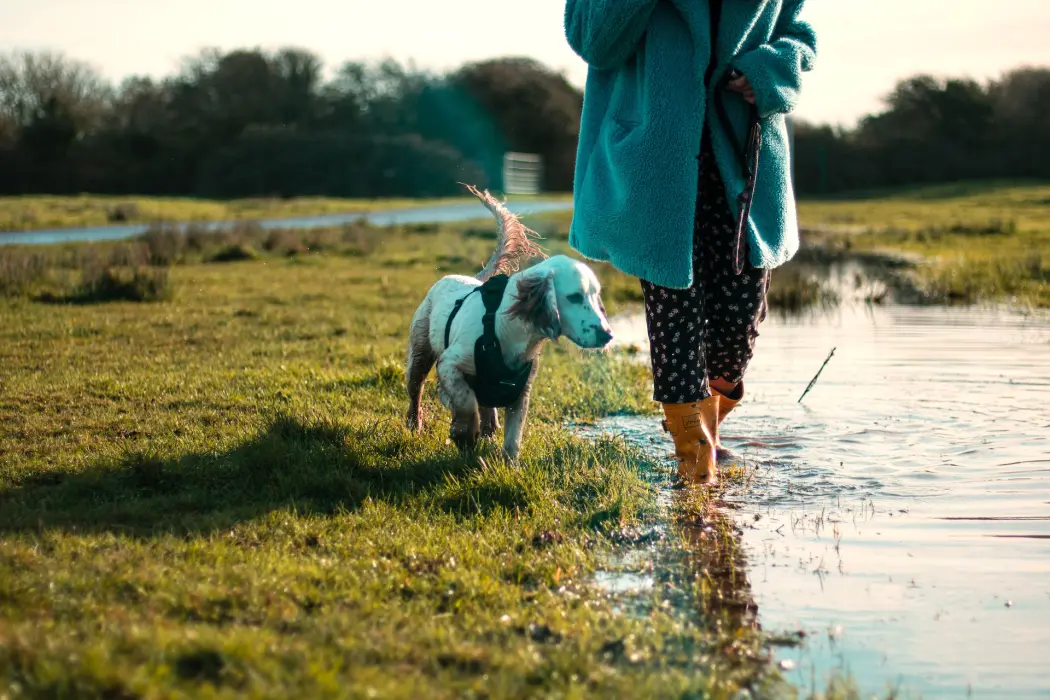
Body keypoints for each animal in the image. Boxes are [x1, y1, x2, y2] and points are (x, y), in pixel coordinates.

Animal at [403, 185, 613, 459]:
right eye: (575, 297)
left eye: (596, 296)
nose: (607, 335)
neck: (507, 330)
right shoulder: (449, 362)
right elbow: (465, 401)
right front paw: (464, 432)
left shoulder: (521, 390)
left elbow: (513, 439)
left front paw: (508, 464)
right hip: (419, 356)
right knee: (416, 392)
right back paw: (414, 425)